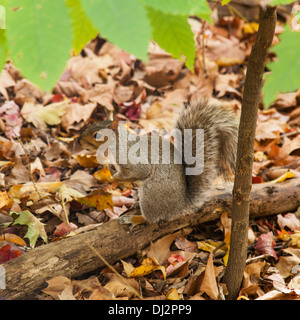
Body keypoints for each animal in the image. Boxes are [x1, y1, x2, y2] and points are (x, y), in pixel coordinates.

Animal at [78, 99, 238, 225]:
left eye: (97, 135)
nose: (79, 141)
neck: (116, 146)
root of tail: (178, 206)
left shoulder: (135, 161)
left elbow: (138, 172)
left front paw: (114, 178)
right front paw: (111, 170)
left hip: (151, 194)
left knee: (151, 219)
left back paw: (134, 219)